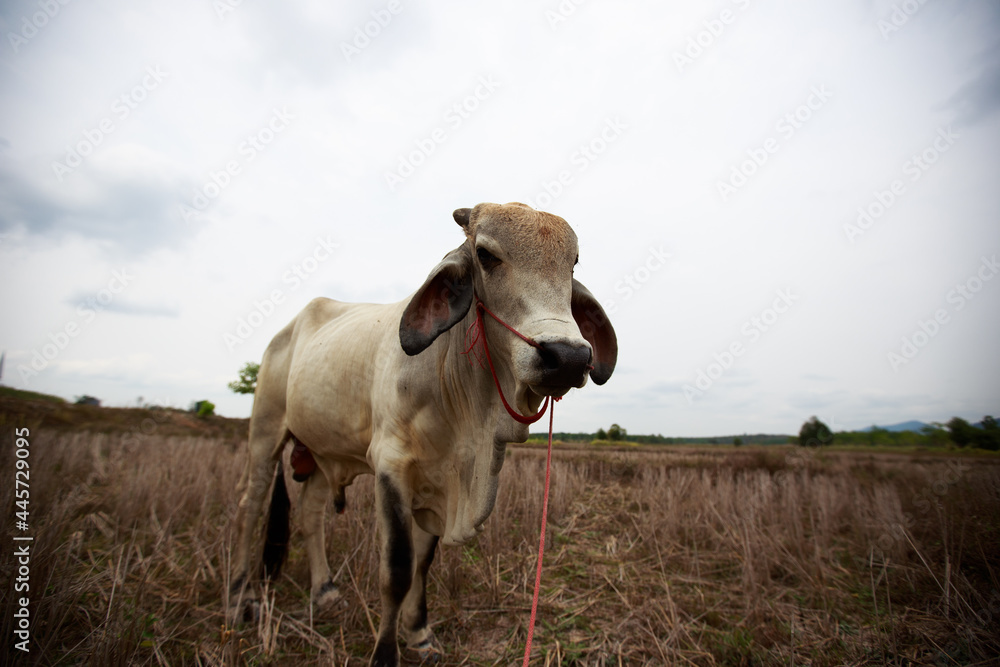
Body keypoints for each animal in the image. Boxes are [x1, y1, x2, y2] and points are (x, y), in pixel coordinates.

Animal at [228, 202, 617, 666]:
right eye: (485, 255)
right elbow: (397, 569)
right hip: (264, 433)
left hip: (324, 453)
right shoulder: (391, 468)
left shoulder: (437, 483)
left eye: (572, 263)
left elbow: (422, 563)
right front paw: (385, 653)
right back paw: (241, 598)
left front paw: (418, 632)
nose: (567, 357)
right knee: (249, 506)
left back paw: (323, 590)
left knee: (309, 512)